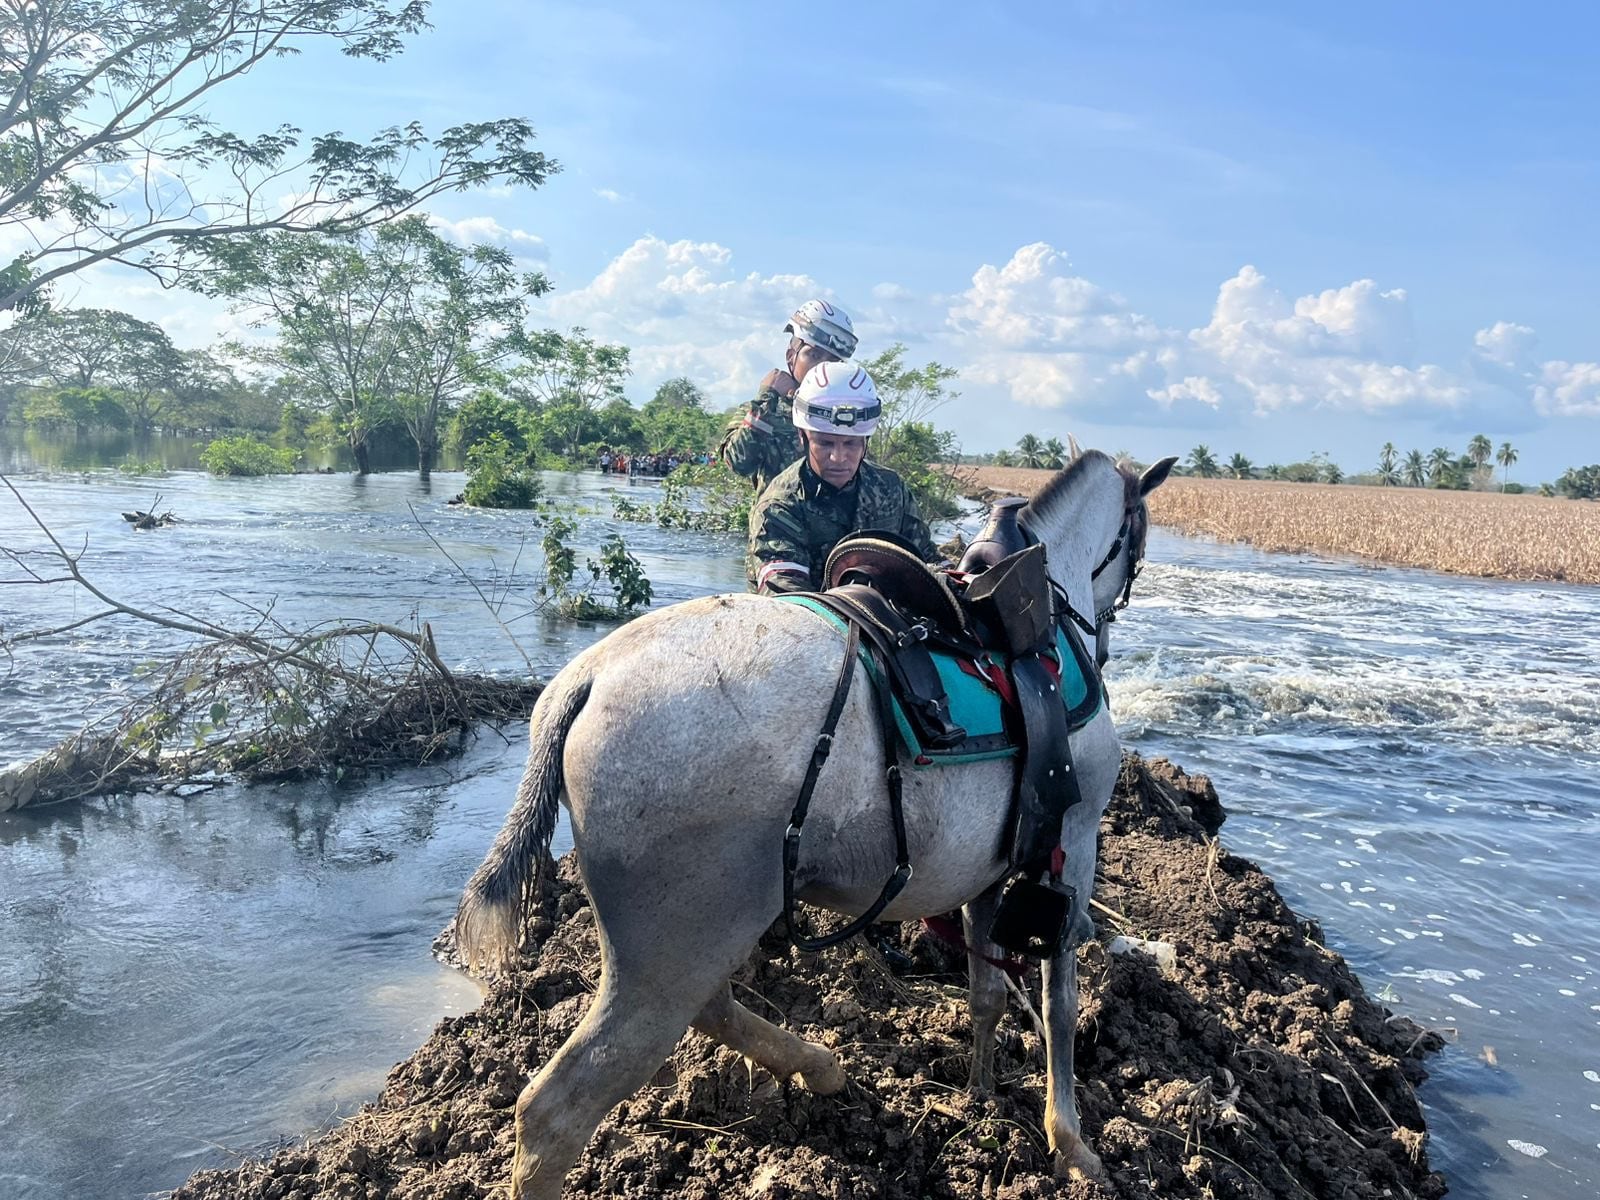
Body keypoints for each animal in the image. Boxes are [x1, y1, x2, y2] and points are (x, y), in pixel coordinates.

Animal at [456, 449, 1178, 1199]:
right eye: (1138, 533)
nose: (1107, 627)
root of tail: (589, 677)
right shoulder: (1072, 843)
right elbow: (1060, 1003)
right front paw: (1071, 1140)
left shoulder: (990, 870)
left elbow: (987, 996)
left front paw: (981, 1092)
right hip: (674, 952)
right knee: (556, 1112)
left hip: (689, 938)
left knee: (711, 1008)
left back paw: (817, 1065)